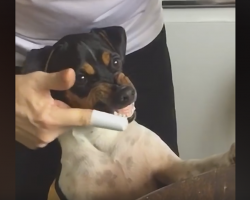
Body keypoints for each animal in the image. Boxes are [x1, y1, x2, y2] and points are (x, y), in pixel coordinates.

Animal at [21, 26, 234, 200]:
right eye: (80, 78)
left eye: (115, 61)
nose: (127, 94)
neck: (106, 136)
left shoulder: (173, 169)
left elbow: (205, 164)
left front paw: (230, 156)